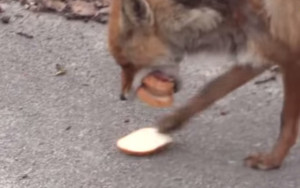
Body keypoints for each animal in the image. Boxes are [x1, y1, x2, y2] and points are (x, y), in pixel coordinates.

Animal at [108, 0, 300, 170]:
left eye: (126, 64)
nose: (121, 97)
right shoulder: (263, 49)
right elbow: (210, 90)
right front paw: (172, 122)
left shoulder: (290, 56)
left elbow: (286, 121)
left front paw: (273, 160)